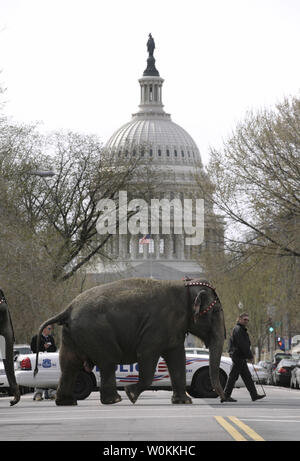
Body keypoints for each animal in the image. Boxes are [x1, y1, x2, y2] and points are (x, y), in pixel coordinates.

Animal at [34, 276, 225, 402]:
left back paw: (67, 402)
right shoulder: (157, 325)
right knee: (107, 361)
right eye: (216, 312)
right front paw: (131, 394)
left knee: (69, 364)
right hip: (96, 332)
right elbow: (147, 354)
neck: (184, 286)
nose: (224, 399)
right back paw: (115, 400)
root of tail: (69, 308)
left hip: (71, 334)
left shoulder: (173, 328)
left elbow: (177, 357)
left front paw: (183, 402)